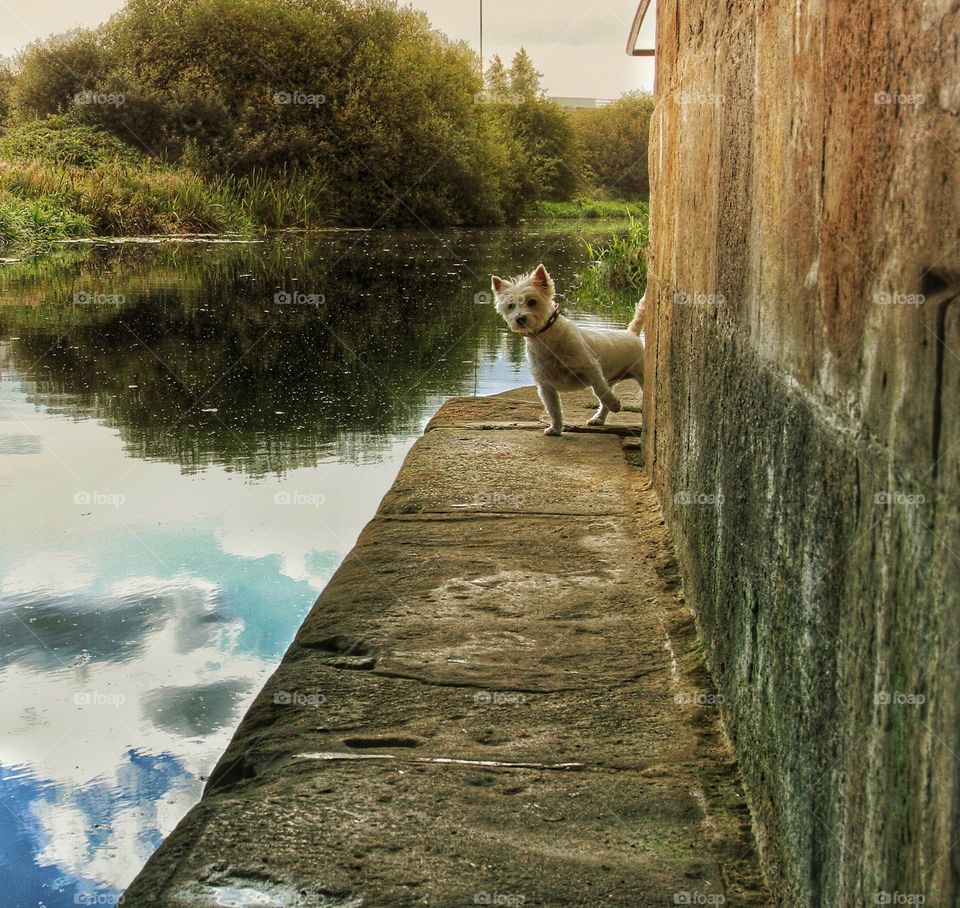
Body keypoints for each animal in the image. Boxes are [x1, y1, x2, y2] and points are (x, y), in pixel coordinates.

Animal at [492, 262, 640, 436]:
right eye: (511, 306)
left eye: (532, 302)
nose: (520, 319)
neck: (545, 339)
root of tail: (632, 334)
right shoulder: (545, 385)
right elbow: (553, 409)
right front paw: (555, 429)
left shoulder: (590, 366)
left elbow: (598, 390)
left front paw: (615, 404)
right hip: (611, 379)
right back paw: (598, 419)